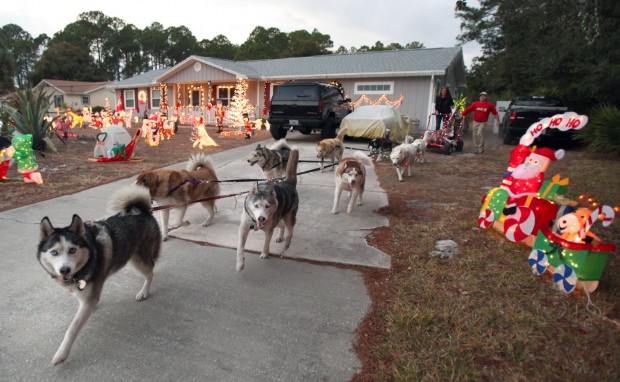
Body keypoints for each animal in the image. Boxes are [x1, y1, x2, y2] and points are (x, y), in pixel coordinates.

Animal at [36, 187, 162, 366]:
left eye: (72, 250)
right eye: (54, 252)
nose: (64, 270)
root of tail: (144, 212)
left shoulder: (89, 298)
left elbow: (72, 328)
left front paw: (62, 354)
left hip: (138, 259)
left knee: (150, 273)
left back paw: (144, 291)